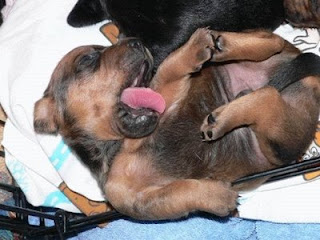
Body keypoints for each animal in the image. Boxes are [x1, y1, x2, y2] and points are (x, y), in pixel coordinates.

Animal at [33, 26, 320, 219]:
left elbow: (170, 67)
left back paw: (221, 45)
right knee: (267, 93)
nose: (137, 41)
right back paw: (222, 113)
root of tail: (309, 75)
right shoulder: (139, 201)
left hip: (280, 139)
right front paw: (216, 196)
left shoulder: (168, 92)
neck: (124, 144)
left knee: (272, 45)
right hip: (280, 141)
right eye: (87, 60)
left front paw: (191, 51)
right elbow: (180, 193)